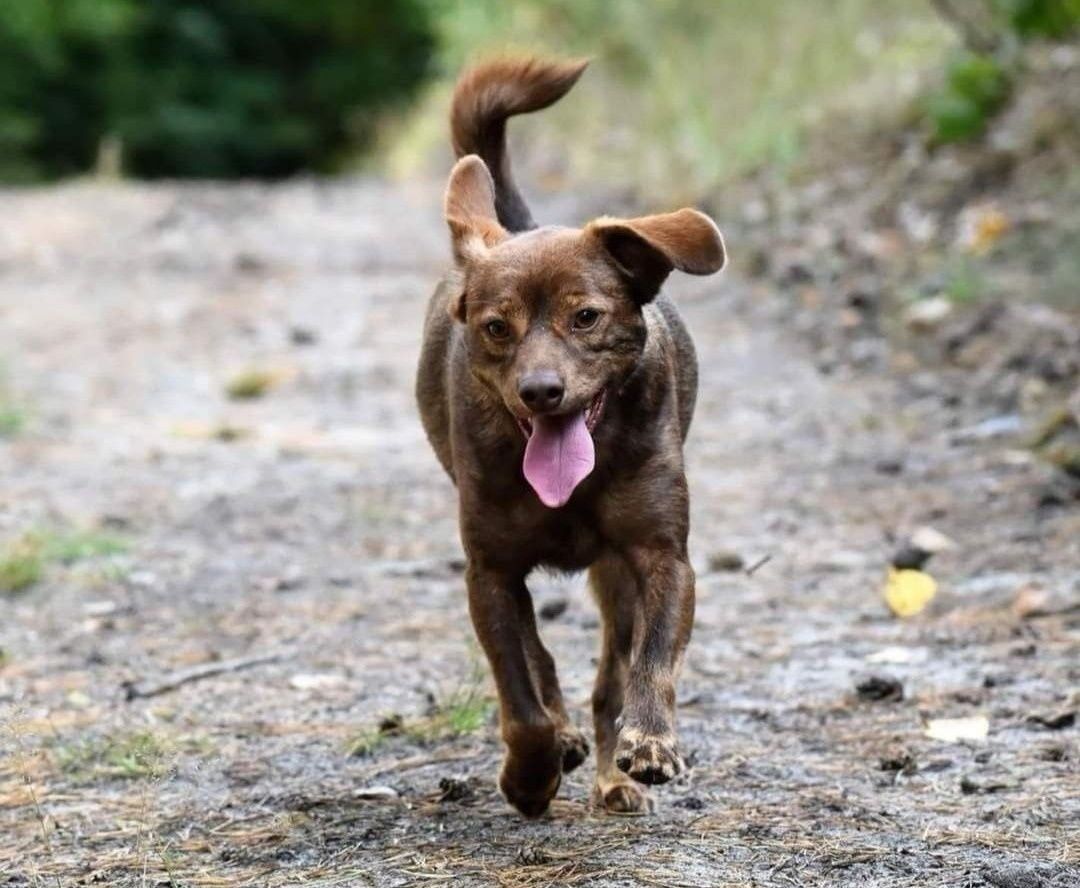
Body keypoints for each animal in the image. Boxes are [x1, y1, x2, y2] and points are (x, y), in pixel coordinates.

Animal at [412, 55, 725, 821]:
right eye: (496, 327)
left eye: (586, 317)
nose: (540, 391)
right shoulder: (491, 572)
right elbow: (523, 697)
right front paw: (530, 775)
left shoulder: (660, 557)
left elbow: (650, 663)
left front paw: (650, 743)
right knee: (542, 666)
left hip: (613, 575)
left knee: (610, 674)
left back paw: (612, 774)